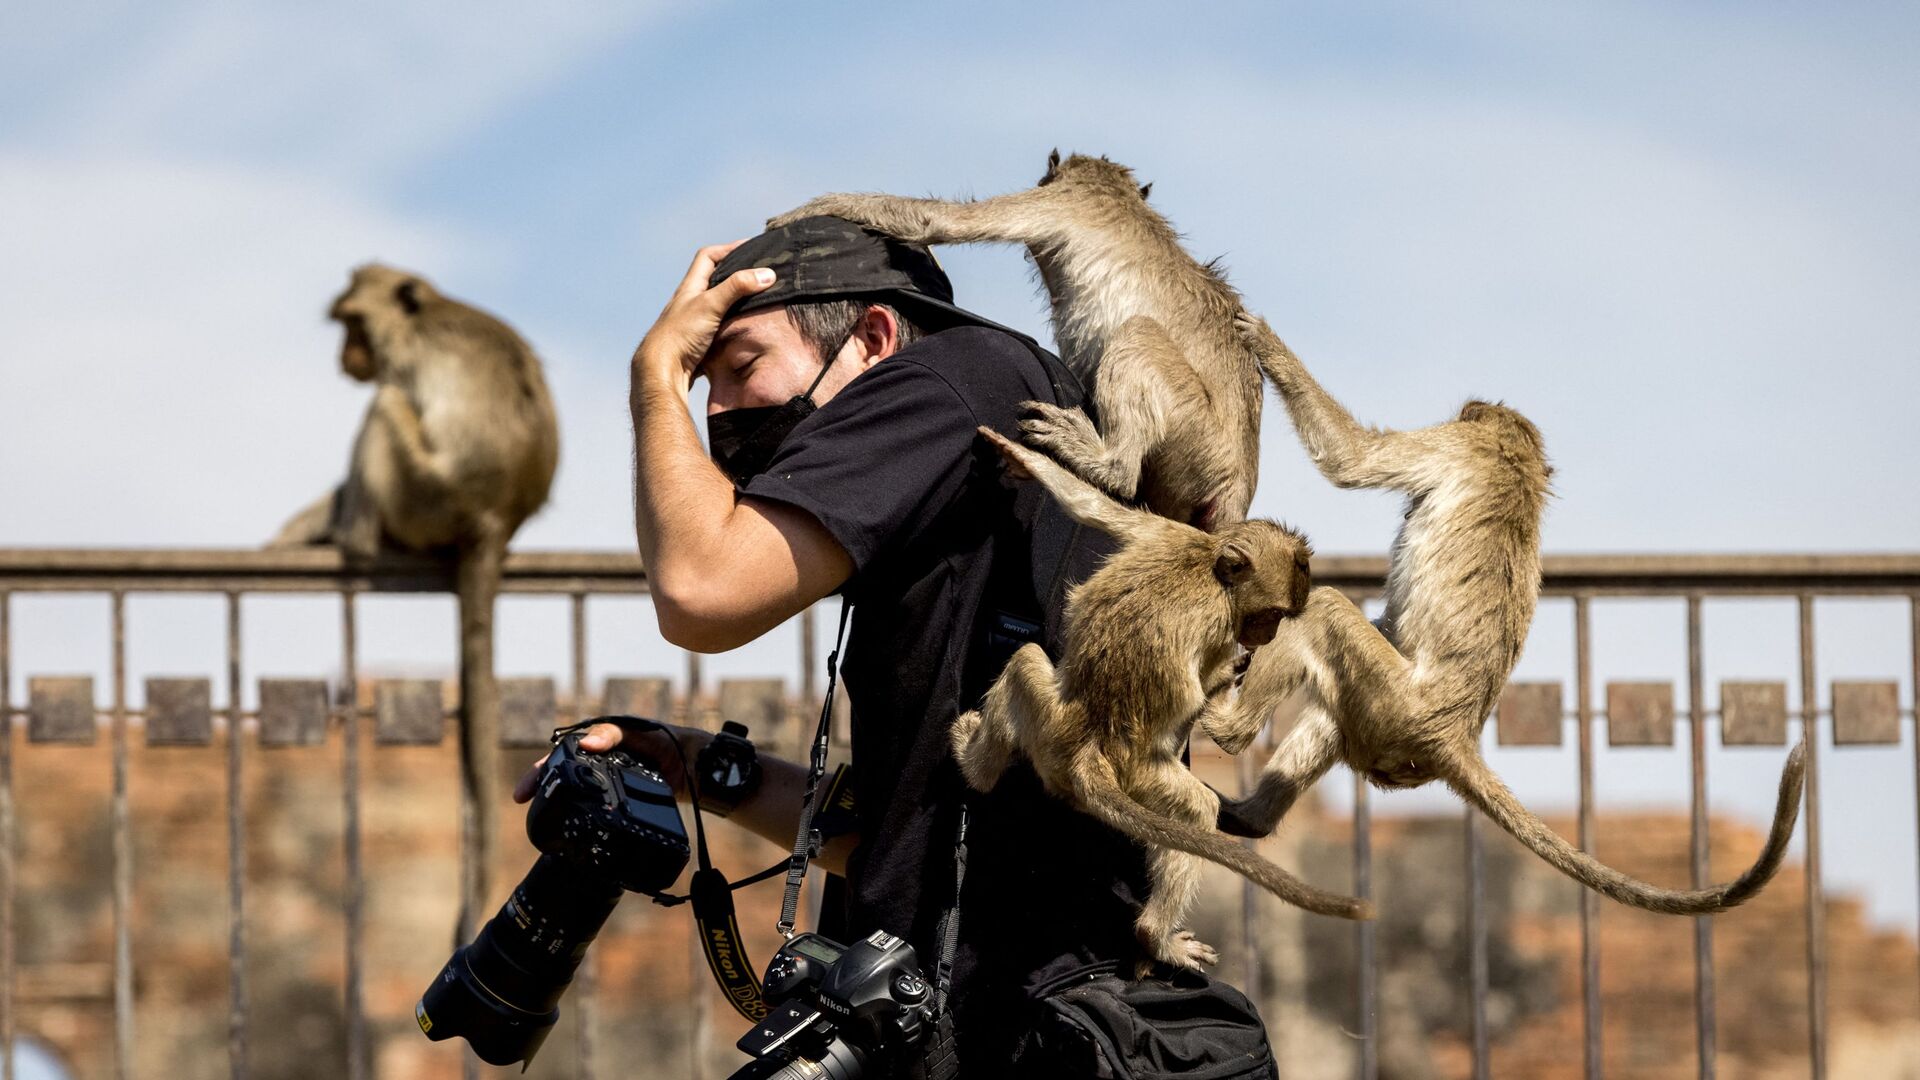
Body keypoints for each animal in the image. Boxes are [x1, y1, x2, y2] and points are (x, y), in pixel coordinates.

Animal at [266, 265, 560, 937]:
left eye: (353, 323)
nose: (344, 356)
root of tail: (493, 520)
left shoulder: (403, 364)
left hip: (424, 494)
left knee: (383, 408)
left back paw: (353, 538)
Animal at [771, 149, 1267, 530]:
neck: (1115, 192)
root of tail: (1237, 480)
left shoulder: (1062, 202)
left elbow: (940, 222)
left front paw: (807, 210)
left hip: (1194, 435)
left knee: (1138, 335)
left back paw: (1107, 464)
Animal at [948, 422, 1367, 976]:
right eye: (1272, 614)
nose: (1267, 635)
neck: (1210, 568)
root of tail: (1088, 751)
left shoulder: (1171, 534)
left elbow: (1092, 508)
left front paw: (1025, 460)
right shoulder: (1216, 616)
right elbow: (1203, 706)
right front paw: (1224, 680)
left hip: (1049, 729)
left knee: (1025, 663)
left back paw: (976, 768)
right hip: (1137, 775)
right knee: (1193, 810)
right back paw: (1154, 935)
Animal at [1205, 313, 1804, 914]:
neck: (1517, 459)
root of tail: (1453, 735)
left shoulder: (1457, 445)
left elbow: (1351, 459)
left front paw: (1265, 341)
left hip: (1396, 705)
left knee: (1324, 610)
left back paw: (1228, 728)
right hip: (1388, 722)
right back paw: (1251, 819)